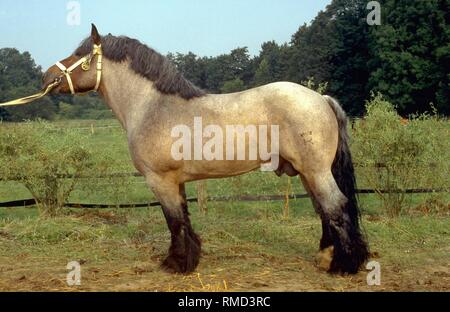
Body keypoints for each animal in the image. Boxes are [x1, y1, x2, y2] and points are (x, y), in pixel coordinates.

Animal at [43, 24, 370, 272]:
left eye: (79, 54)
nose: (46, 77)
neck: (153, 106)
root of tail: (321, 98)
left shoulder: (160, 180)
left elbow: (174, 221)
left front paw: (175, 264)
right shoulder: (176, 182)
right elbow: (184, 219)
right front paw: (188, 259)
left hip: (316, 171)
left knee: (336, 207)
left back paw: (344, 265)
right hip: (307, 173)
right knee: (323, 210)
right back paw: (326, 257)